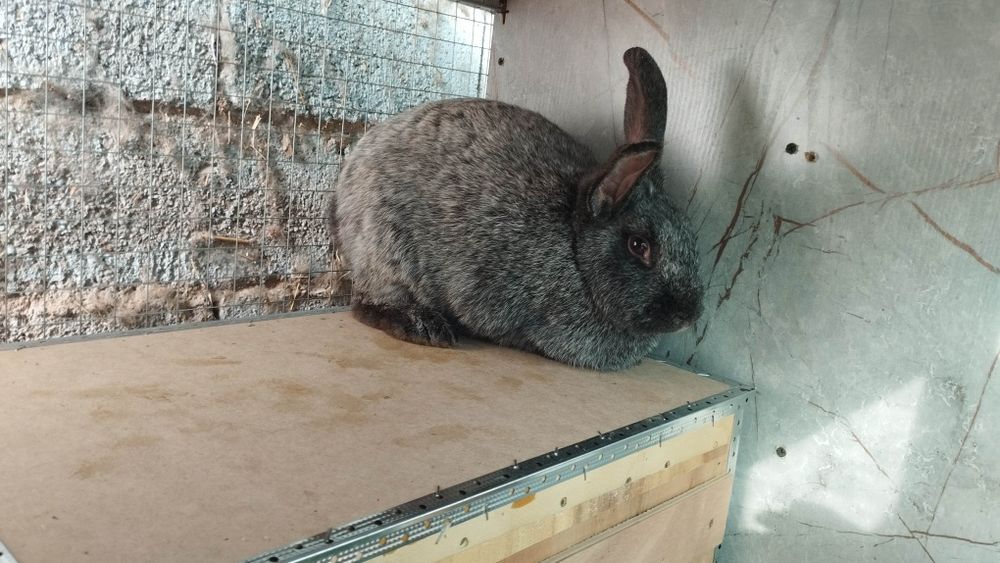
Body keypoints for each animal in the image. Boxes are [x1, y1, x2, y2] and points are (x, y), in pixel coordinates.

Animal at [328, 47, 702, 371]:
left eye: (689, 233)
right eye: (639, 245)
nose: (690, 315)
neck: (574, 250)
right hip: (386, 248)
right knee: (365, 304)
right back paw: (425, 327)